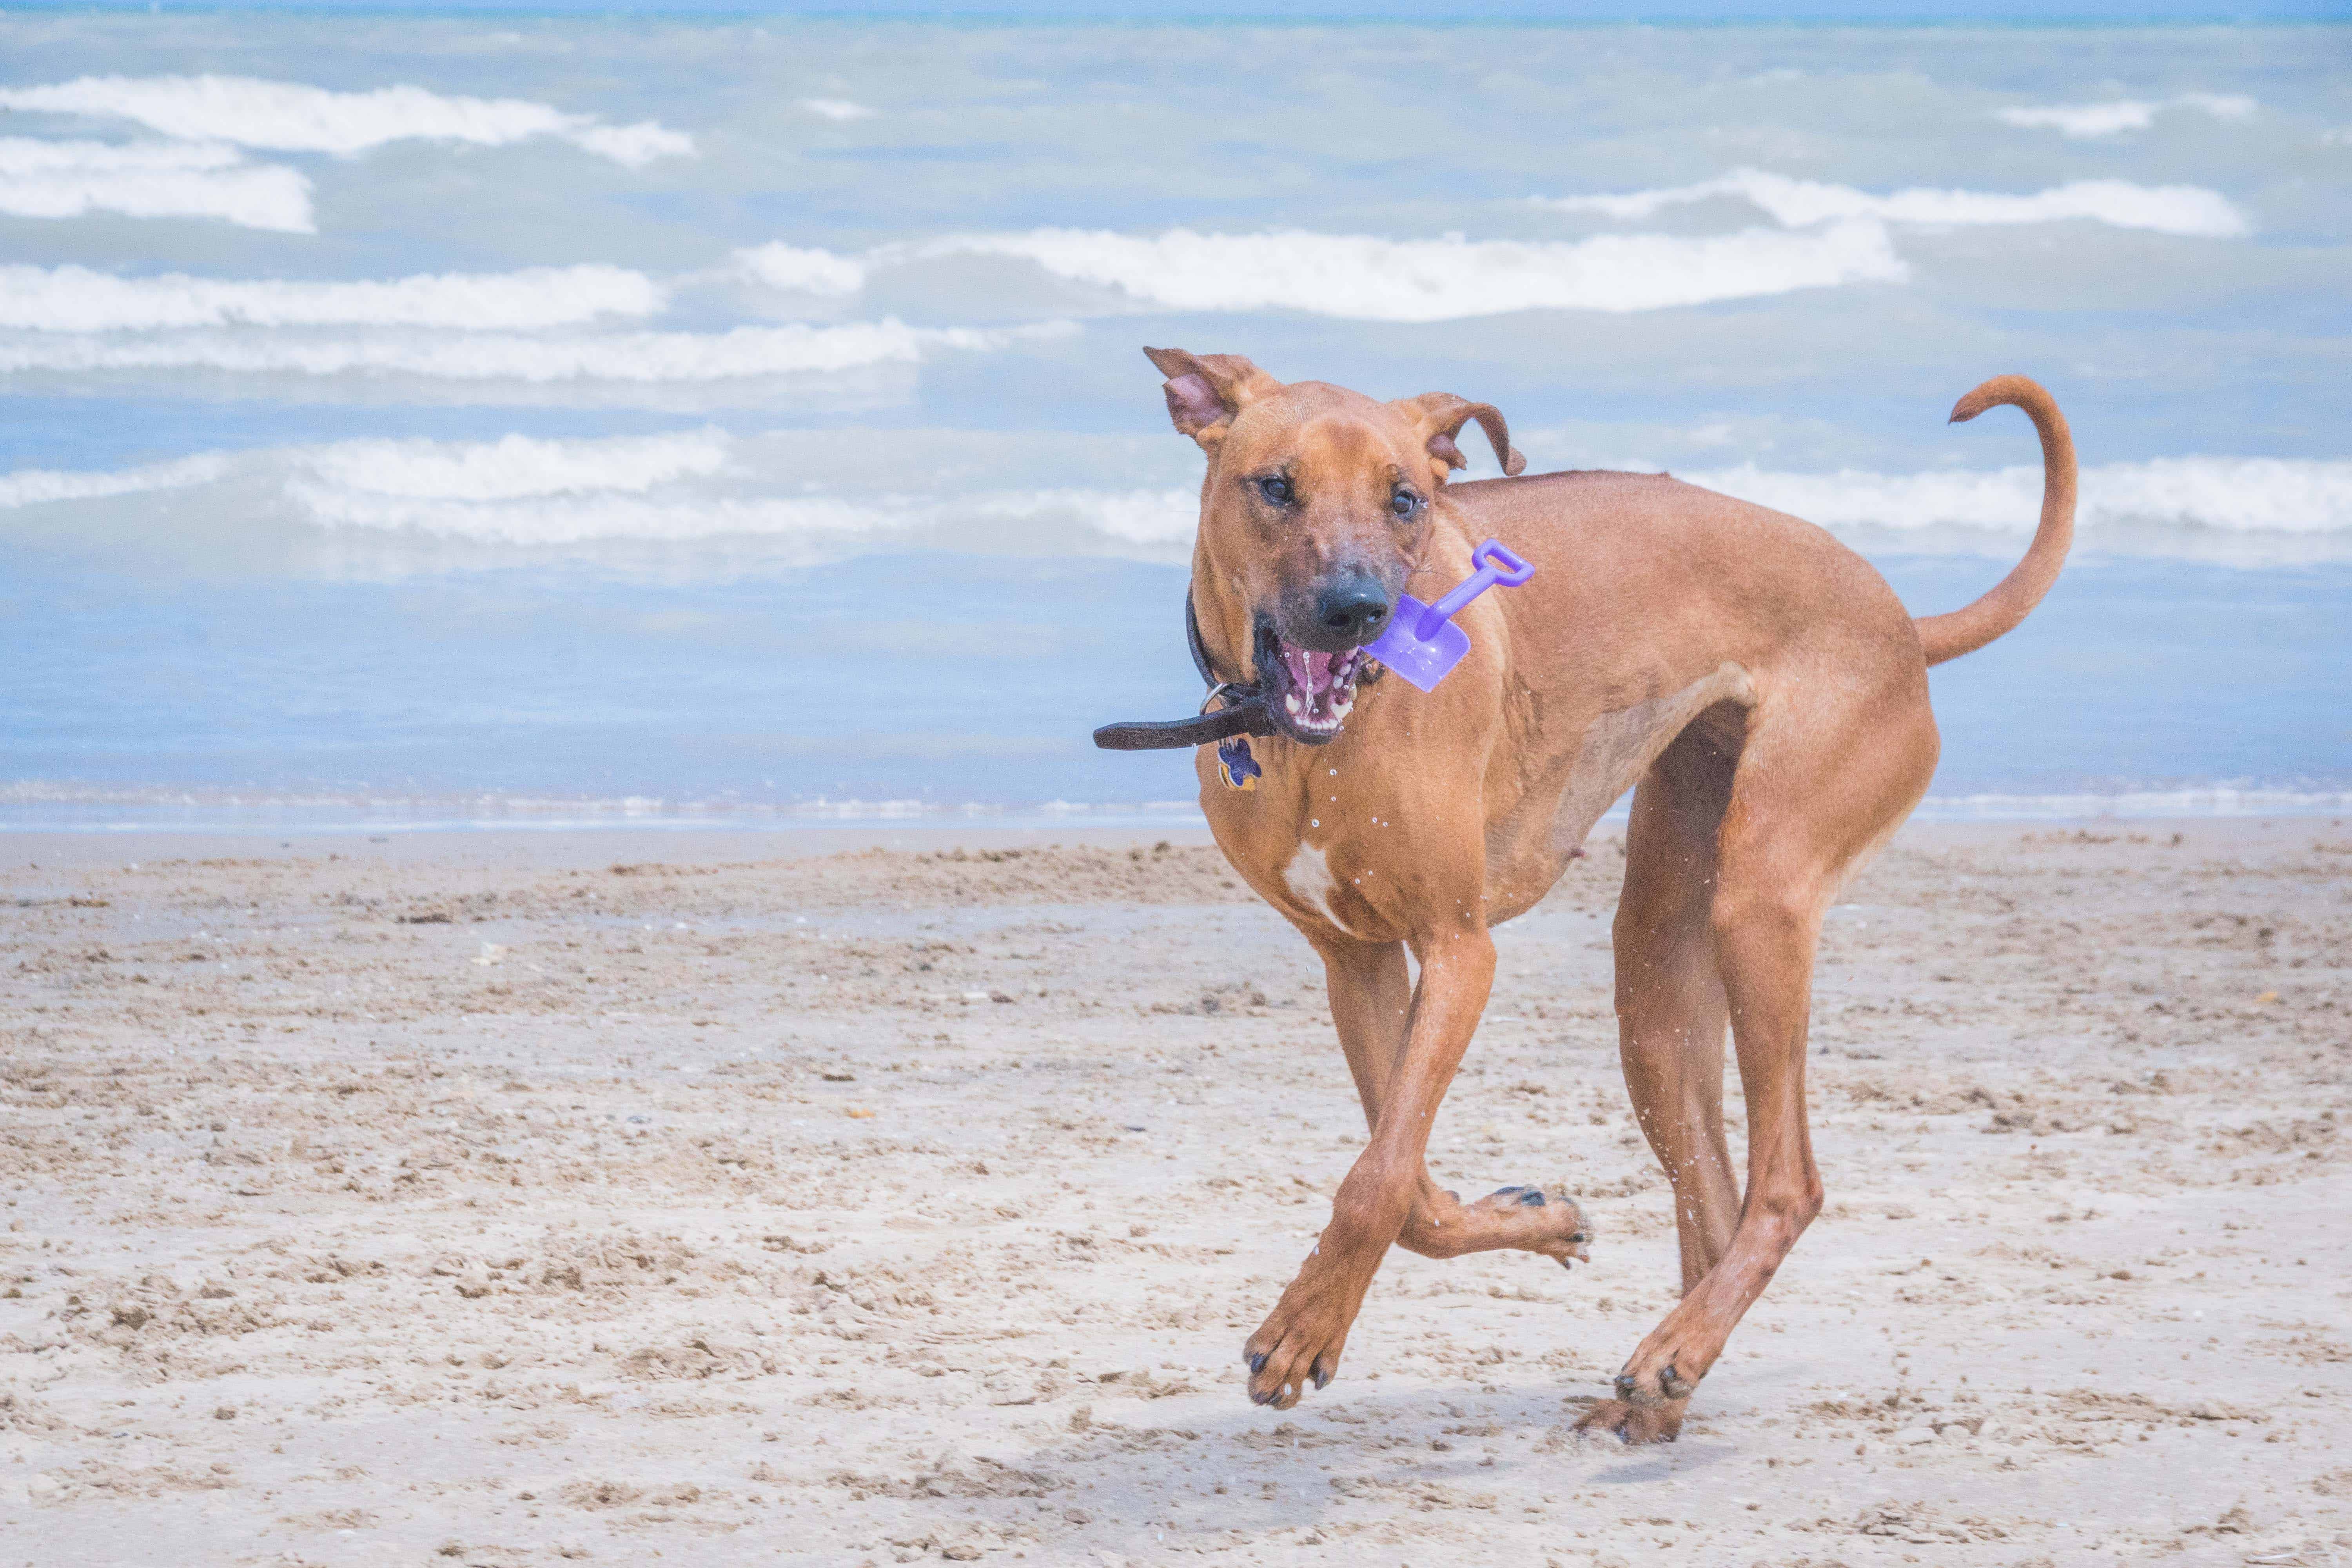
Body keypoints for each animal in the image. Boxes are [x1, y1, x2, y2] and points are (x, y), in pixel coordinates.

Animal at [1120, 345, 2079, 1448]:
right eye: (1275, 486)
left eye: (1406, 499)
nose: (1359, 608)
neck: (1299, 739)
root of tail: (1899, 620)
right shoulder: (1356, 960)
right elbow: (1408, 1186)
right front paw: (1540, 1219)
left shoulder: (1460, 949)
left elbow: (1377, 1181)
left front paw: (1304, 1327)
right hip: (1656, 979)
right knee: (1714, 1197)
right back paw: (1664, 1381)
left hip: (1760, 900)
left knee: (1787, 1184)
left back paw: (1677, 1349)